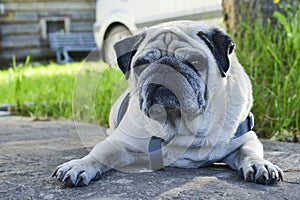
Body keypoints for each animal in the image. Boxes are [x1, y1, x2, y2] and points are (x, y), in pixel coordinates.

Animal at [52, 20, 284, 186]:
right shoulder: (119, 143)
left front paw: (260, 165)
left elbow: (249, 152)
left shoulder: (246, 138)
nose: (164, 67)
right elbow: (99, 154)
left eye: (196, 62)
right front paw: (79, 165)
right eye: (142, 64)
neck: (182, 128)